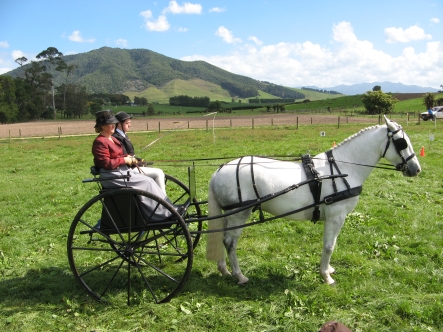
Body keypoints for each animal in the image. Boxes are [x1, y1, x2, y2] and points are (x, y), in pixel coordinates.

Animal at [206, 116, 422, 286]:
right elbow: (329, 246)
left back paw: (224, 269)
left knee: (221, 237)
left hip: (230, 214)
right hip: (240, 214)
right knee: (230, 242)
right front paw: (326, 276)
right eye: (401, 143)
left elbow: (332, 243)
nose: (416, 169)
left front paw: (329, 269)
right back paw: (239, 275)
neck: (343, 167)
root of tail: (219, 171)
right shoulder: (336, 216)